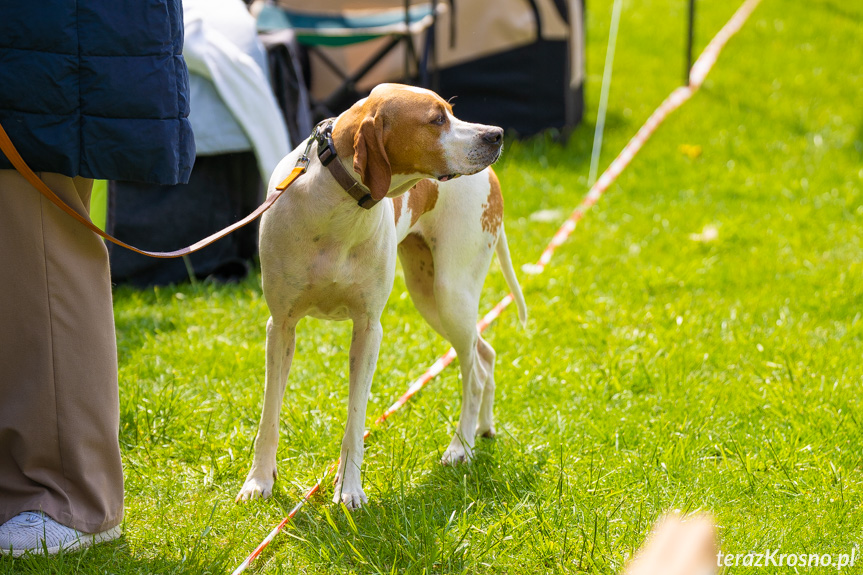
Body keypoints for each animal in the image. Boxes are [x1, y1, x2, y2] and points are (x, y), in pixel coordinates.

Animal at [240, 84, 528, 508]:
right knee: (485, 354)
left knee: (473, 371)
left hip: (451, 295)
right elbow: (269, 416)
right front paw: (259, 481)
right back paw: (483, 428)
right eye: (437, 119)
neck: (335, 210)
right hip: (432, 299)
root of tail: (491, 176)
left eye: (451, 111)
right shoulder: (281, 326)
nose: (496, 134)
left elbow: (355, 420)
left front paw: (348, 490)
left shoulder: (367, 329)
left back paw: (460, 447)